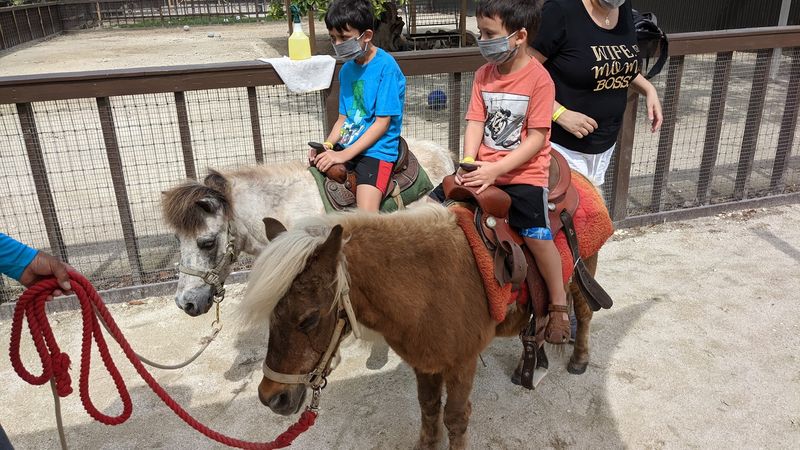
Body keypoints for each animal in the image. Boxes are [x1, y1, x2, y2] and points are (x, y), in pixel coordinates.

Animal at [240, 204, 601, 449]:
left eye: (310, 318)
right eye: (272, 314)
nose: (271, 397)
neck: (427, 284)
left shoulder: (462, 363)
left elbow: (455, 417)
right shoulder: (424, 362)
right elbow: (428, 408)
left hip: (581, 274)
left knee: (583, 314)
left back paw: (579, 359)